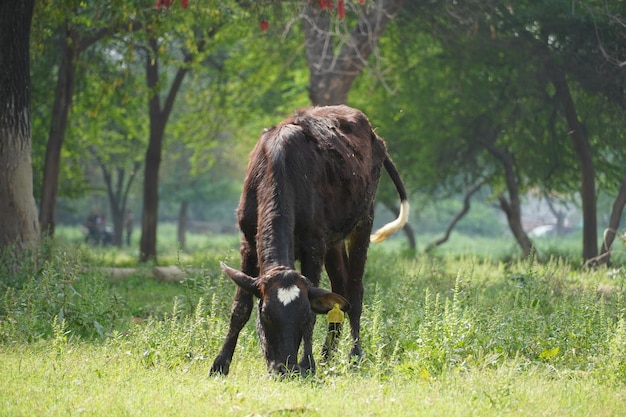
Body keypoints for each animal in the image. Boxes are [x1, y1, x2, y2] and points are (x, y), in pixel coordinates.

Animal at [210, 103, 410, 374]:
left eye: (302, 316)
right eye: (266, 315)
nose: (284, 368)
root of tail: (375, 137)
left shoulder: (313, 246)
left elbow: (318, 310)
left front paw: (307, 364)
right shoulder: (248, 243)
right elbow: (240, 307)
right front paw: (220, 365)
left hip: (364, 220)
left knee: (354, 291)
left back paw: (353, 357)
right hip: (333, 242)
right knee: (340, 291)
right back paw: (327, 357)